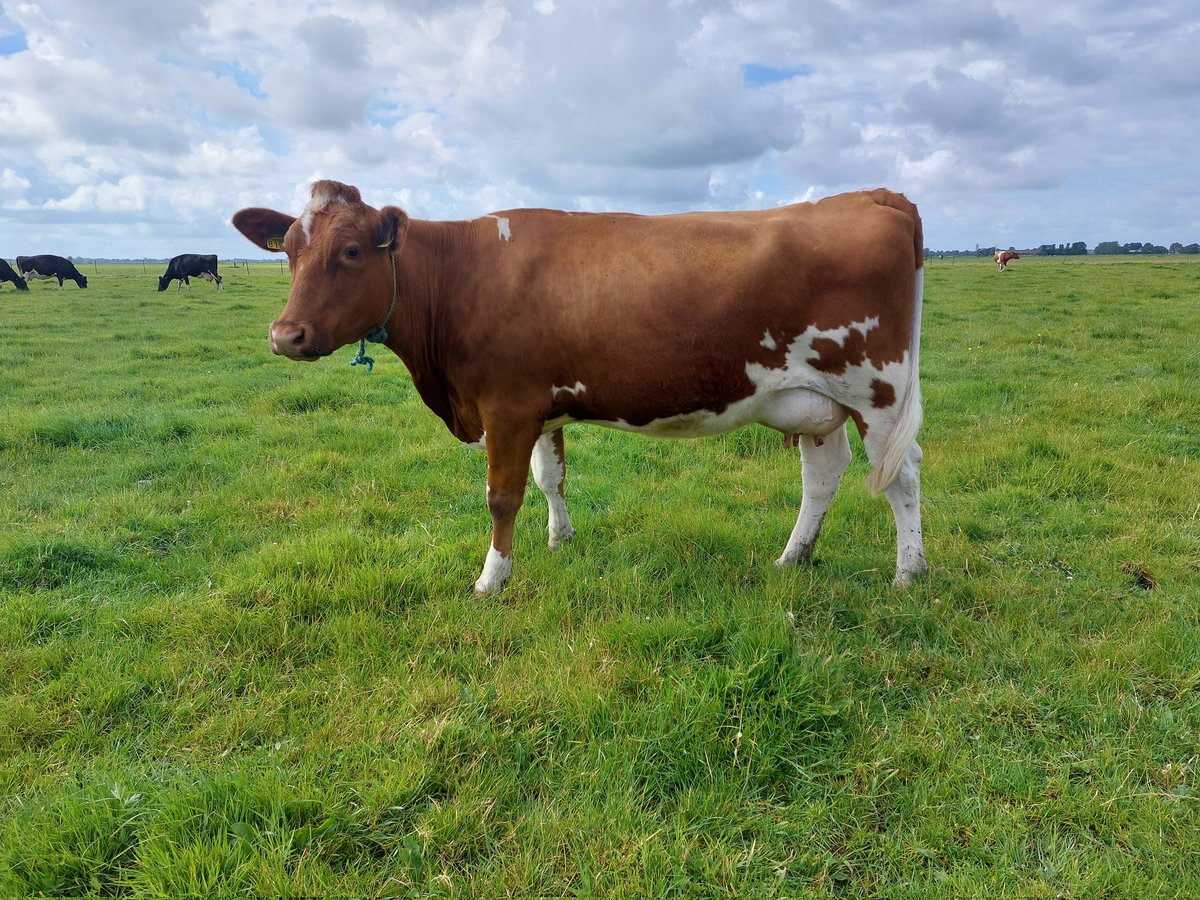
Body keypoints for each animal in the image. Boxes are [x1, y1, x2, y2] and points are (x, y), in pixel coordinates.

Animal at [233, 180, 927, 595]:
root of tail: (872, 196)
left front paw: (492, 579)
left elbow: (503, 497)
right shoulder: (539, 407)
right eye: (287, 249)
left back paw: (909, 573)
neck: (459, 276)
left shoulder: (506, 406)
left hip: (878, 391)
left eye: (351, 250)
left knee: (901, 475)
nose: (285, 335)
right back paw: (793, 558)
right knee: (824, 475)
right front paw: (560, 540)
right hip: (816, 401)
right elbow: (551, 478)